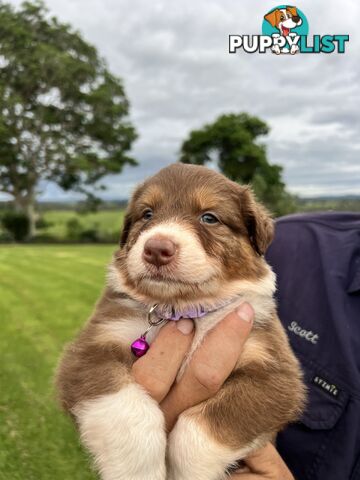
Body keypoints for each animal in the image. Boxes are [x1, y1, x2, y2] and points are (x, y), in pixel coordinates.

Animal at [54, 162, 306, 480]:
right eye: (147, 214)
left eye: (209, 217)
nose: (156, 249)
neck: (184, 309)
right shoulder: (90, 350)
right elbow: (125, 409)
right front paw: (139, 470)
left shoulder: (276, 374)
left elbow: (205, 426)